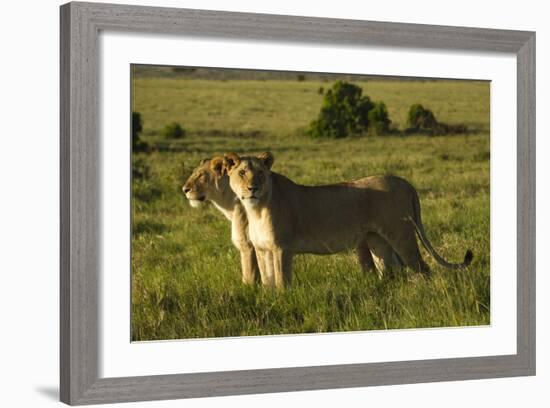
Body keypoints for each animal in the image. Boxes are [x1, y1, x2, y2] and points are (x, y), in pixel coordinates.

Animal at [182, 158, 262, 286]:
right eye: (194, 173)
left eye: (201, 175)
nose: (184, 190)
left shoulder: (247, 243)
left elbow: (249, 275)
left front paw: (248, 289)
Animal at [224, 151, 474, 288]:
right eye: (242, 173)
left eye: (261, 173)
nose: (253, 188)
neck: (256, 209)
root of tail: (406, 183)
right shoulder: (263, 250)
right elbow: (268, 282)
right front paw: (271, 301)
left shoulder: (282, 249)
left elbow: (282, 281)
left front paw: (284, 302)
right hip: (377, 240)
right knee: (394, 270)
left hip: (401, 235)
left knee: (423, 268)